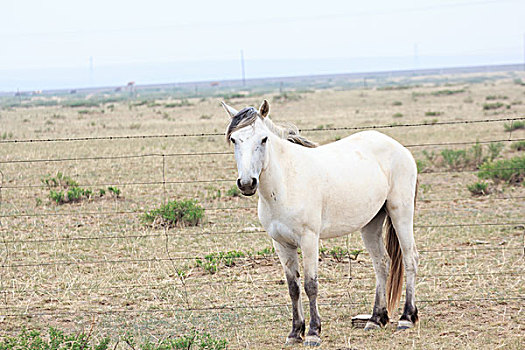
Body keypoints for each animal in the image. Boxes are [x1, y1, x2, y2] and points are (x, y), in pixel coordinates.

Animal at [220, 100, 418, 346]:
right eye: (234, 139)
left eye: (263, 139)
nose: (247, 183)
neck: (286, 182)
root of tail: (399, 148)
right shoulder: (281, 244)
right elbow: (293, 288)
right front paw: (295, 332)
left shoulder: (309, 240)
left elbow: (310, 285)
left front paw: (313, 333)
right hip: (371, 223)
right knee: (382, 263)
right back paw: (376, 319)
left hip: (401, 213)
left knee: (410, 259)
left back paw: (407, 318)